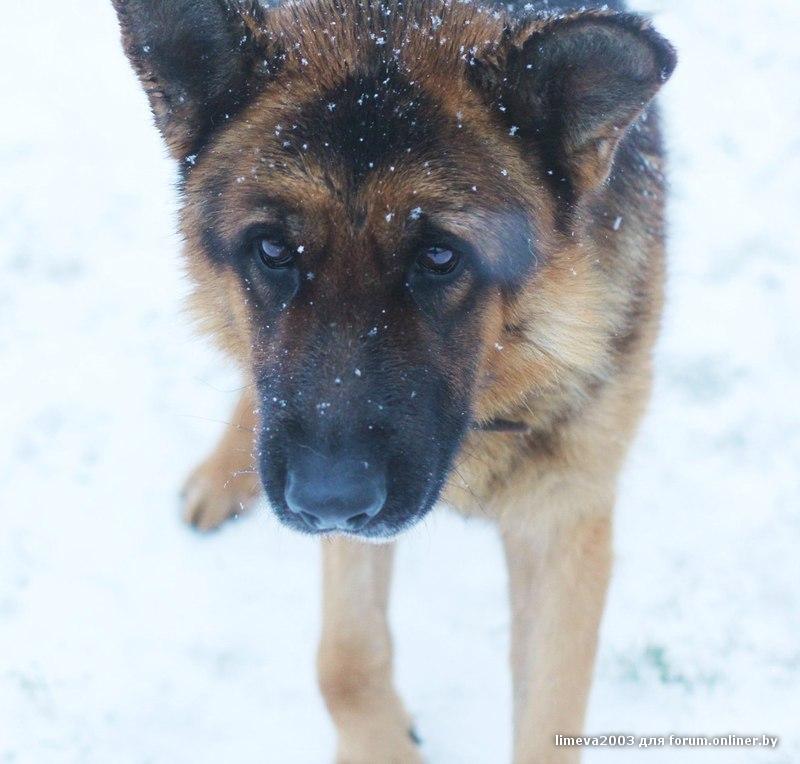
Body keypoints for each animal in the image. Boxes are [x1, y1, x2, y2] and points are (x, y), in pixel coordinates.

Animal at [112, 0, 676, 760]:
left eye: (440, 256)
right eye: (272, 250)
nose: (328, 500)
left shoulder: (562, 520)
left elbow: (548, 717)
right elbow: (344, 660)